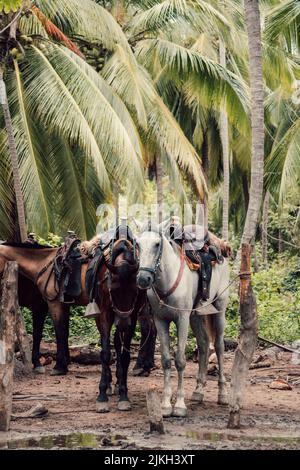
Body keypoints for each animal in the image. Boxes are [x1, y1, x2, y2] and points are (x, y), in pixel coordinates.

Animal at [136, 222, 230, 416]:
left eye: (157, 244)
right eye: (138, 244)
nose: (143, 279)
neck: (167, 280)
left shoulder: (182, 319)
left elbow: (180, 360)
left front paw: (179, 405)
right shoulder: (160, 320)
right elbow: (166, 361)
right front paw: (165, 404)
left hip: (219, 310)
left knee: (219, 346)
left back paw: (223, 393)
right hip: (196, 316)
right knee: (203, 344)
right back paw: (198, 391)